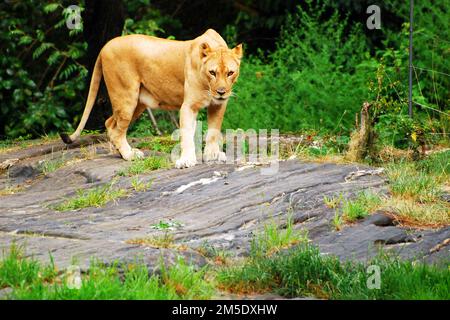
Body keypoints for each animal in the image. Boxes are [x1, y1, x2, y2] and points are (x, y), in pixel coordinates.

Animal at [60, 29, 243, 170]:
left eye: (230, 73)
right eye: (212, 72)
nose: (221, 92)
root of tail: (105, 46)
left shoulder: (219, 104)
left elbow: (213, 130)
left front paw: (212, 154)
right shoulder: (189, 106)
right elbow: (187, 135)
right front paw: (186, 160)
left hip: (137, 103)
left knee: (110, 123)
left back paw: (122, 153)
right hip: (126, 97)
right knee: (117, 130)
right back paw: (130, 155)